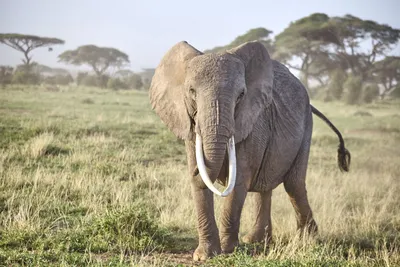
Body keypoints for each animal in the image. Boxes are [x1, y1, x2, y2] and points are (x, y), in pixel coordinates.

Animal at [148, 40, 350, 262]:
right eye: (191, 91)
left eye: (241, 95)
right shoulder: (188, 124)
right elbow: (203, 181)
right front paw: (204, 256)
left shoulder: (252, 122)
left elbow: (239, 180)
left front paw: (228, 250)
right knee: (264, 187)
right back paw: (257, 240)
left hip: (306, 127)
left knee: (294, 185)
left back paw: (307, 241)